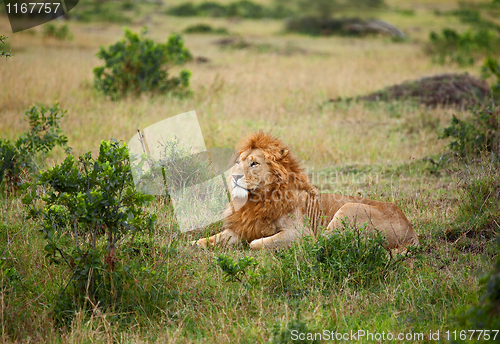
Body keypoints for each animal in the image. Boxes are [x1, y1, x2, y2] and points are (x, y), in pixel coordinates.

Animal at [191, 131, 418, 250]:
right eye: (238, 162)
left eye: (254, 163)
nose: (234, 177)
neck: (257, 200)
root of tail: (411, 231)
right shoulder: (243, 226)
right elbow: (213, 238)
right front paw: (194, 243)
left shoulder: (299, 232)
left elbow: (256, 243)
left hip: (348, 208)